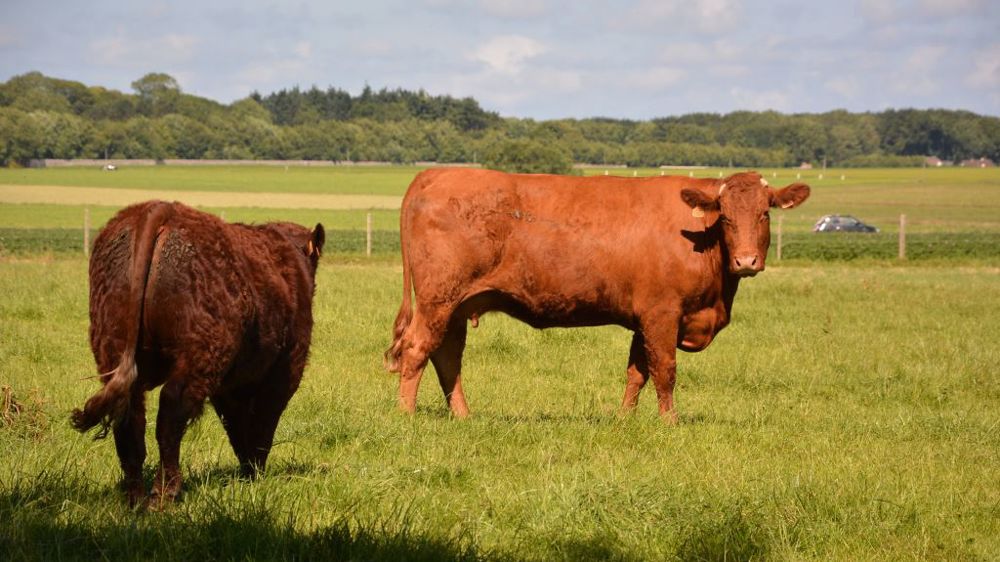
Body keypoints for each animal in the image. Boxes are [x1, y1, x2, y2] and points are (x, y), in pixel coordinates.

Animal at [71, 201, 325, 507]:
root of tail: (157, 209)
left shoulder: (231, 386)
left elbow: (237, 427)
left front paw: (248, 472)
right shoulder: (284, 372)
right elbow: (262, 424)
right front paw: (255, 474)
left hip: (113, 348)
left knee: (130, 419)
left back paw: (136, 497)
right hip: (199, 355)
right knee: (169, 414)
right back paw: (165, 493)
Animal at [384, 168, 809, 421]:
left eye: (765, 214)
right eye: (725, 216)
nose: (746, 261)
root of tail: (438, 171)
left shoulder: (643, 320)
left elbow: (637, 372)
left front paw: (625, 420)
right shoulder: (662, 313)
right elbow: (665, 370)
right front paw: (669, 423)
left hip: (457, 306)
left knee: (447, 356)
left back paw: (463, 416)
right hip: (438, 300)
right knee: (417, 349)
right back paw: (405, 416)